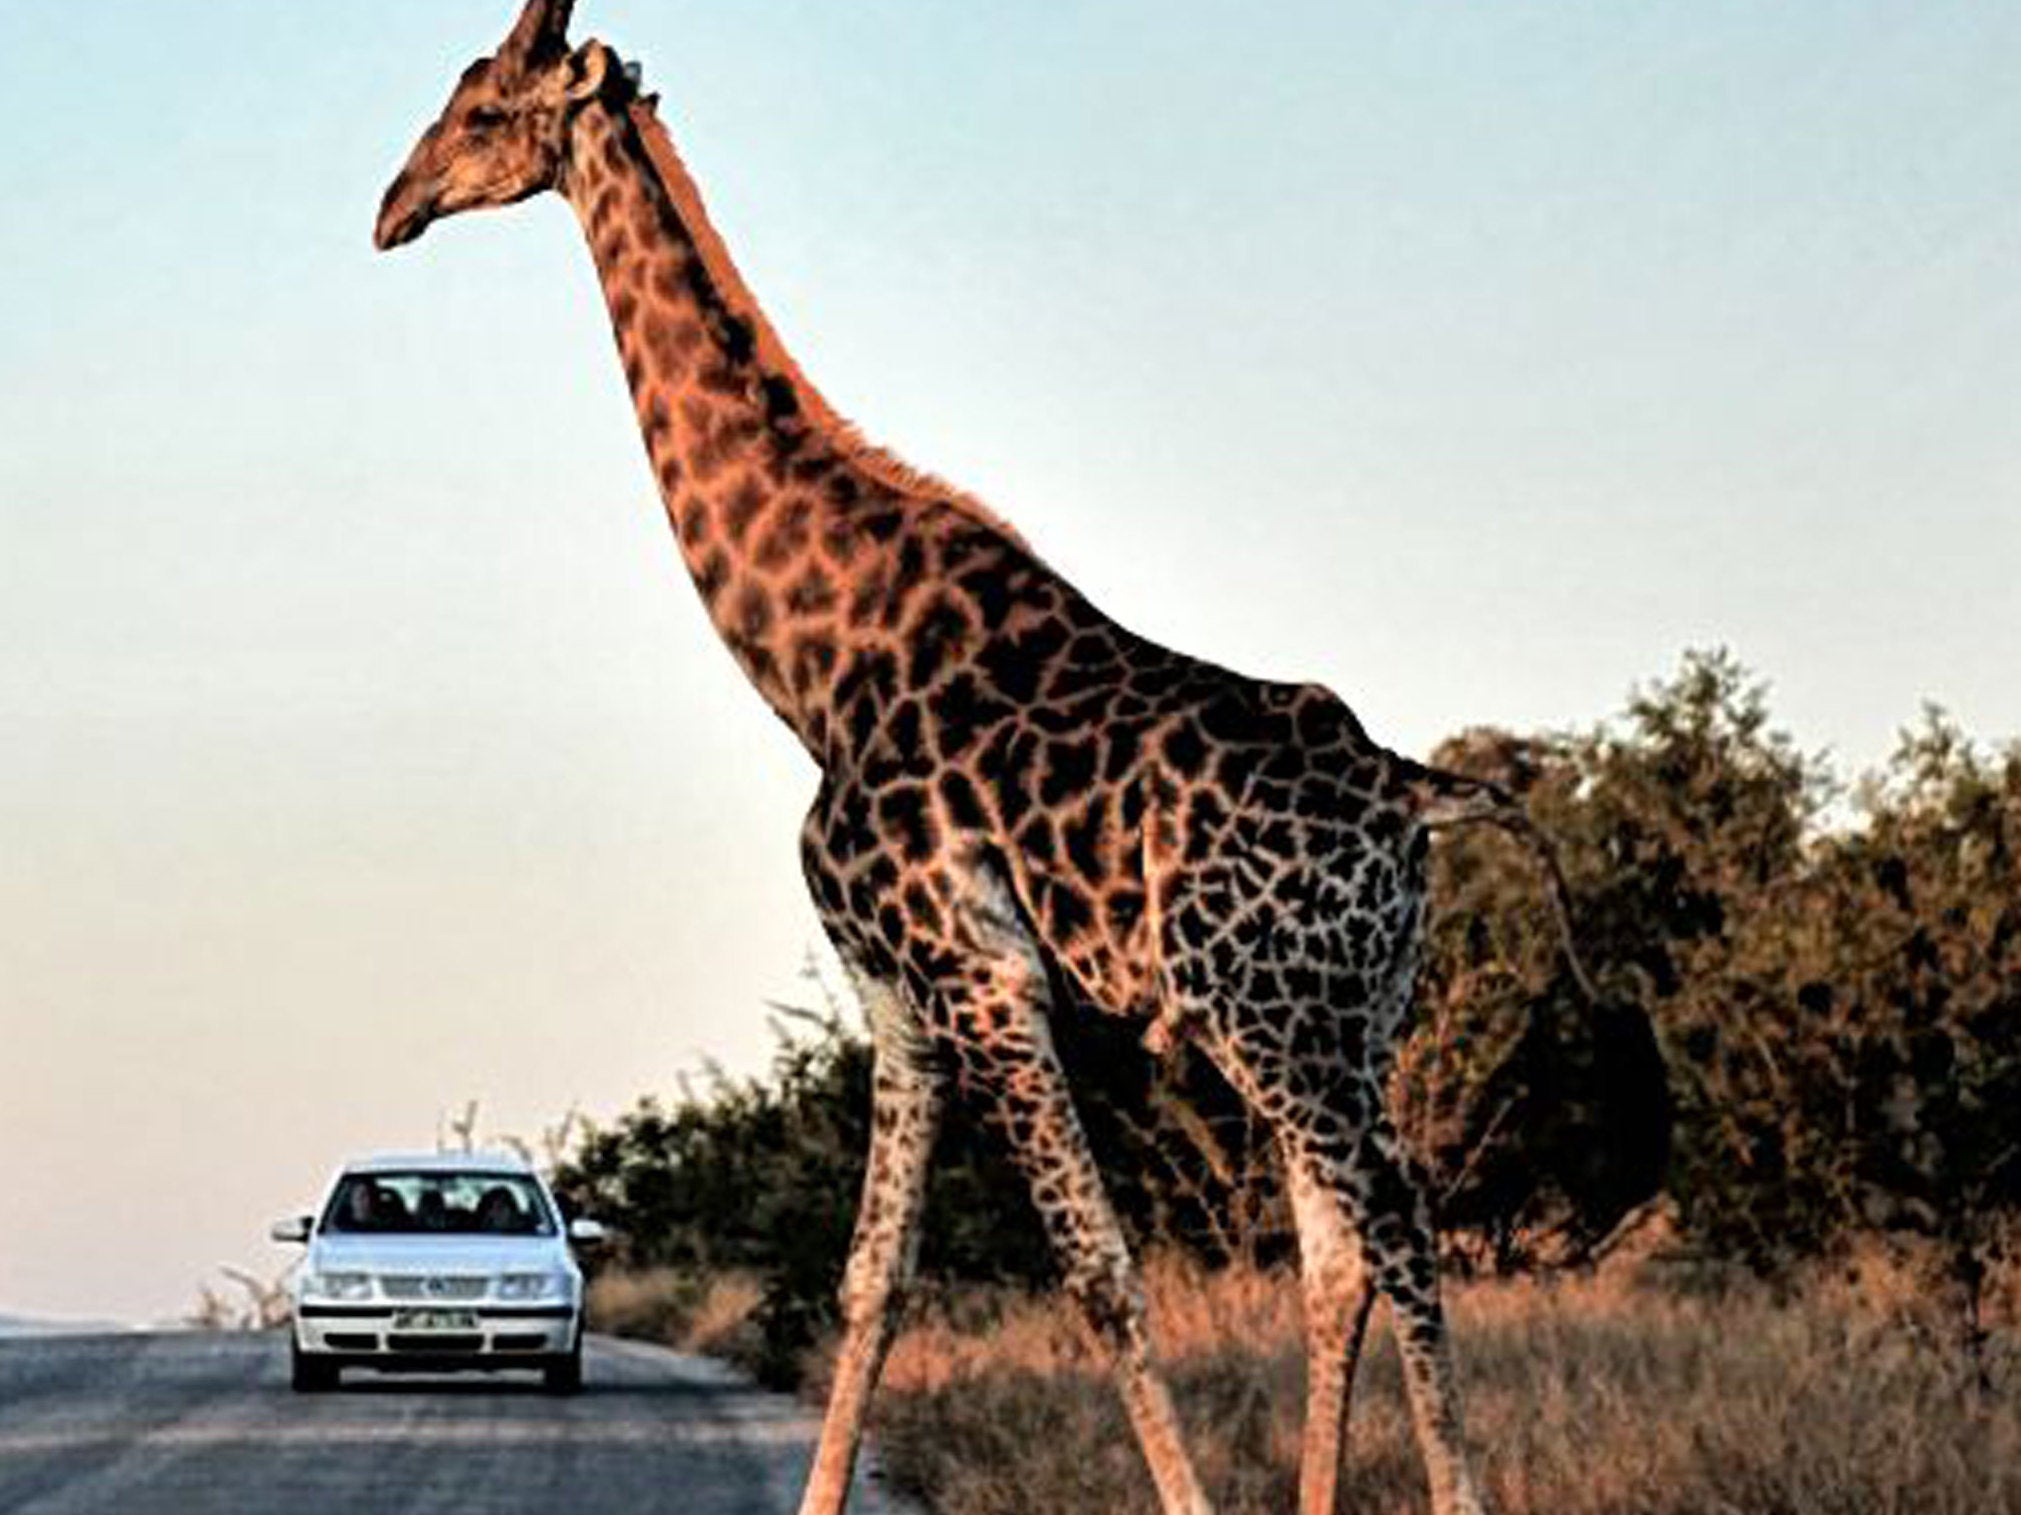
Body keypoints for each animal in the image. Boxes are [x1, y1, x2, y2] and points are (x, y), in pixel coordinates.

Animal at [375, 5, 1576, 1510]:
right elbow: (872, 1280)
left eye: (481, 107)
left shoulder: (984, 974)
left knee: (1400, 1231)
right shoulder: (895, 990)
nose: (393, 209)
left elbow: (1100, 1272)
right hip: (1355, 1011)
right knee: (1340, 1253)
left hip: (1274, 1016)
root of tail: (1415, 793)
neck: (817, 662)